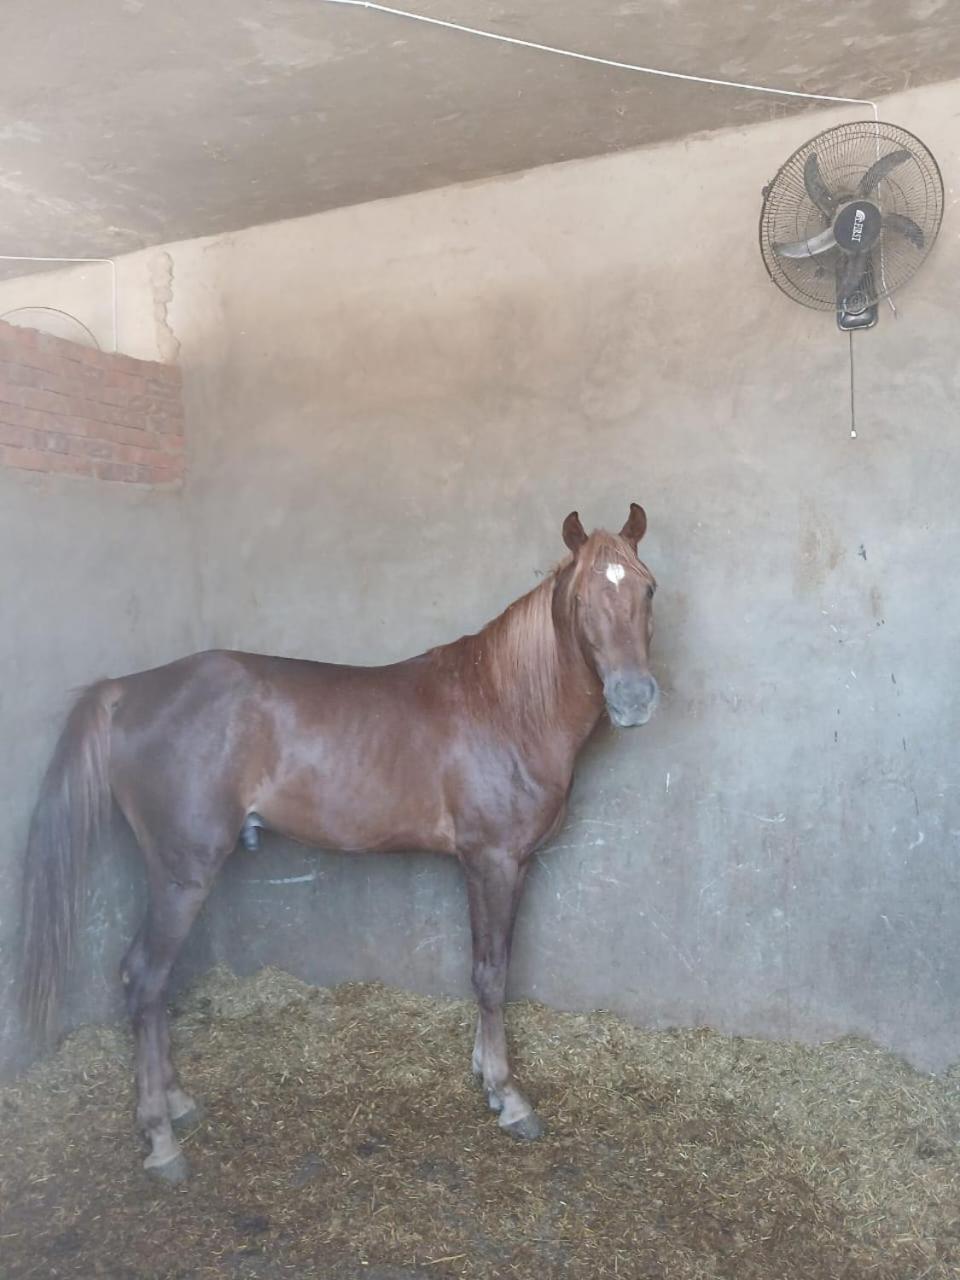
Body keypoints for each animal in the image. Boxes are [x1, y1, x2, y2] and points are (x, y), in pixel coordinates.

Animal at [19, 503, 659, 1184]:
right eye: (583, 598)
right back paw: (162, 1140)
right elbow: (490, 975)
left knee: (155, 986)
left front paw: (485, 1075)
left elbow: (489, 967)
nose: (634, 699)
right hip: (181, 873)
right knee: (144, 978)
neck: (504, 705)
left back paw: (178, 1102)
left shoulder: (502, 867)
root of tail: (128, 690)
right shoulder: (492, 863)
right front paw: (507, 1097)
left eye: (648, 589)